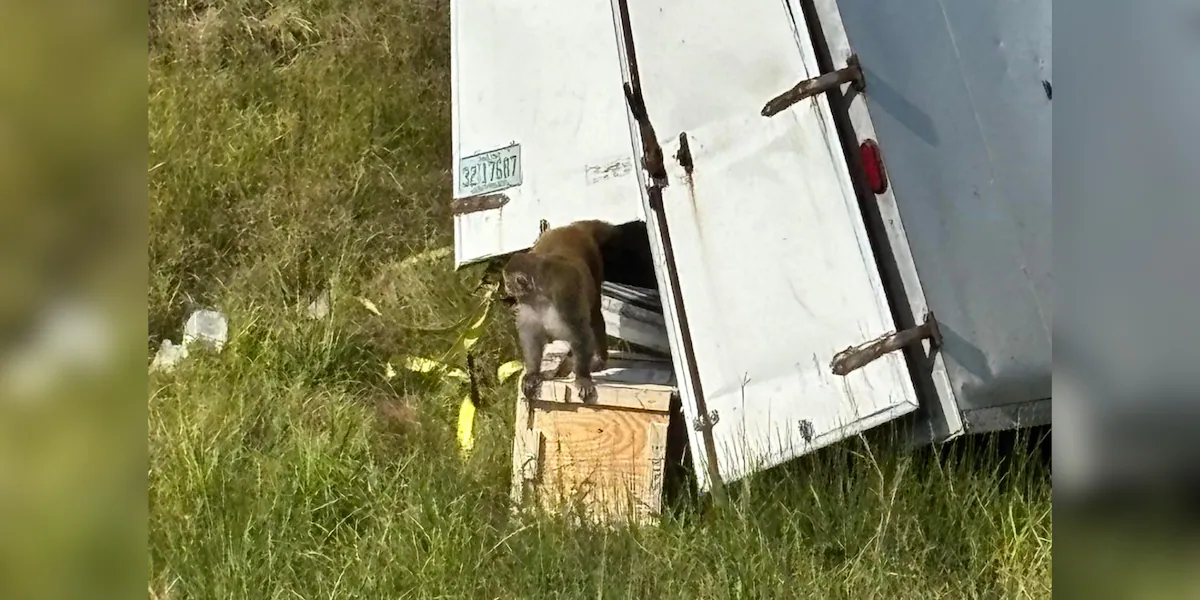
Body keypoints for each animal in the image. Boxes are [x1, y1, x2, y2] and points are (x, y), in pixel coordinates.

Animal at [502, 219, 616, 404]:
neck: (540, 293)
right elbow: (531, 334)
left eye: (508, 282)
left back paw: (600, 358)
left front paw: (582, 377)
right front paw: (533, 373)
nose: (506, 288)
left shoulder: (564, 293)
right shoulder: (527, 302)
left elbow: (580, 331)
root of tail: (572, 228)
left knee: (594, 315)